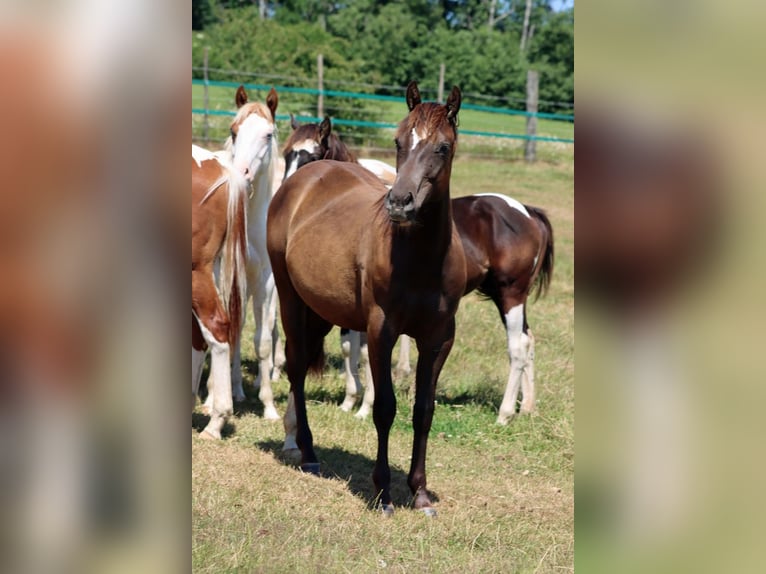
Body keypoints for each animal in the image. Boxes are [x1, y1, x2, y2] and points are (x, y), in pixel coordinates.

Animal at [267, 81, 465, 515]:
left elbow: (424, 411)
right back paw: (308, 453)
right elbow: (385, 408)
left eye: (442, 147)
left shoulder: (439, 339)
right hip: (290, 299)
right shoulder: (380, 331)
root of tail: (300, 182)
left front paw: (420, 492)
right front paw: (383, 492)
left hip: (320, 309)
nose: (400, 202)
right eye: (398, 141)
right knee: (295, 365)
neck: (420, 257)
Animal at [280, 118, 555, 425]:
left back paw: (505, 414)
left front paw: (363, 406)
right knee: (528, 341)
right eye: (287, 154)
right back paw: (527, 406)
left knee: (517, 347)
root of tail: (528, 212)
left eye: (313, 155)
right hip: (503, 295)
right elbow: (352, 346)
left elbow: (363, 351)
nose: (286, 188)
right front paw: (350, 401)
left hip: (510, 294)